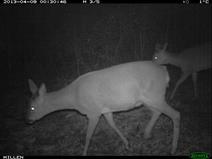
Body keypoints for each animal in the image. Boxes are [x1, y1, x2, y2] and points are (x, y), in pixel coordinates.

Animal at [26, 60, 179, 155]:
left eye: (32, 108)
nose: (27, 120)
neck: (74, 99)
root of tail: (164, 71)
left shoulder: (93, 112)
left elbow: (88, 136)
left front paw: (84, 153)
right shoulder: (105, 109)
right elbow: (112, 125)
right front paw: (127, 144)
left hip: (155, 94)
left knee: (176, 114)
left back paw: (173, 149)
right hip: (149, 98)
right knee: (158, 112)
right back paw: (147, 134)